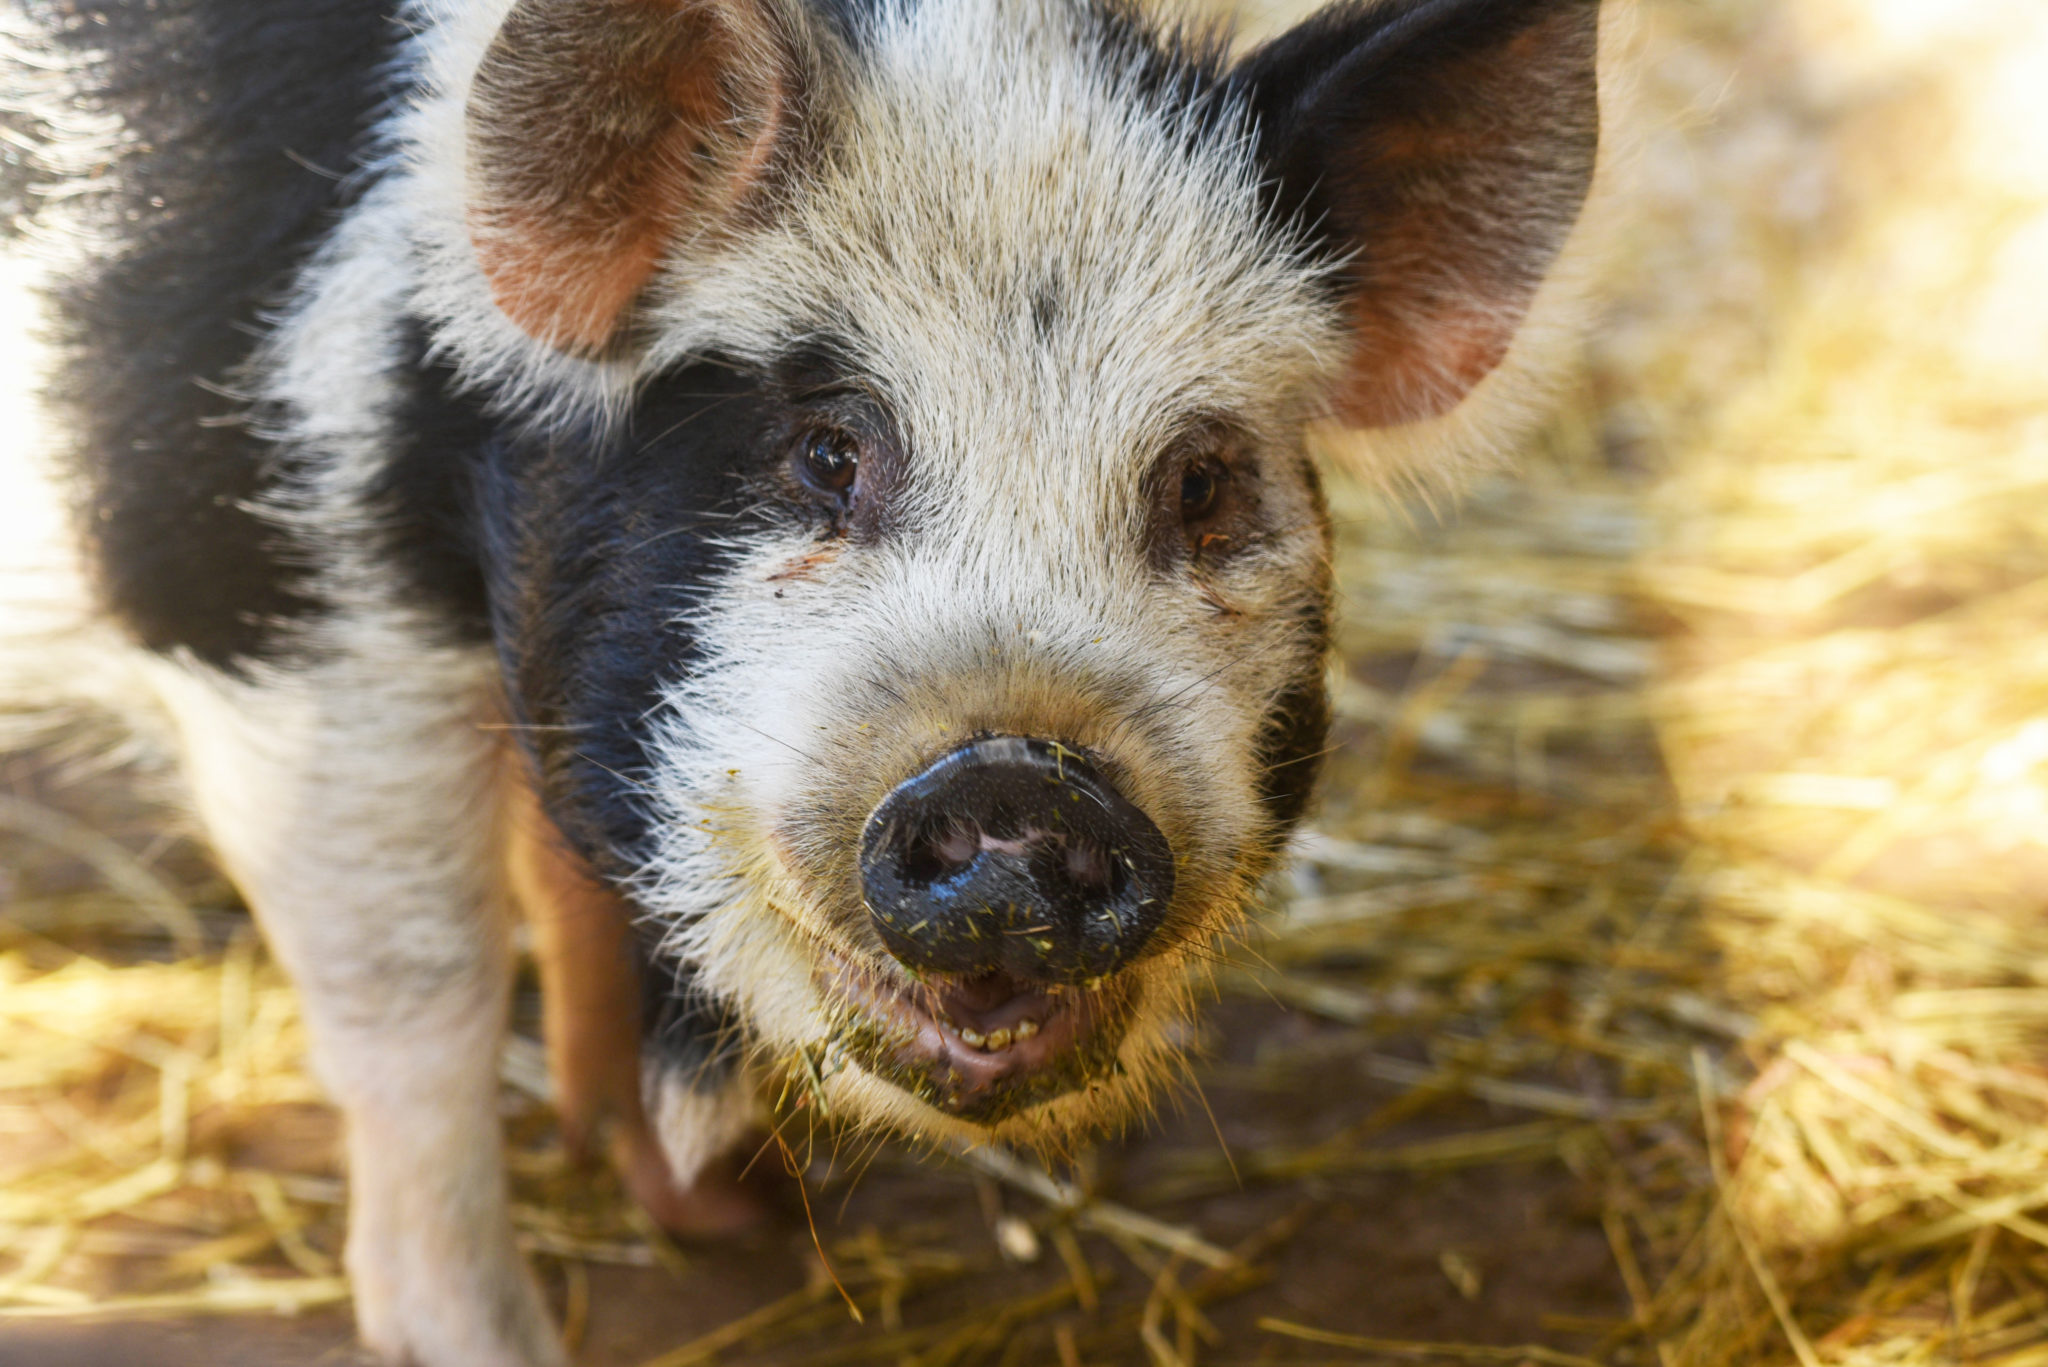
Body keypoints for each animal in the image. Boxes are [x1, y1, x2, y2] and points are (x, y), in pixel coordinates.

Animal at [0, 0, 1597, 1360]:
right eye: (823, 451)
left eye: (1200, 481)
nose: (1024, 782)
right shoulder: (271, 612)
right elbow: (420, 999)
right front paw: (493, 1332)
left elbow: (569, 881)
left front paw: (730, 1205)